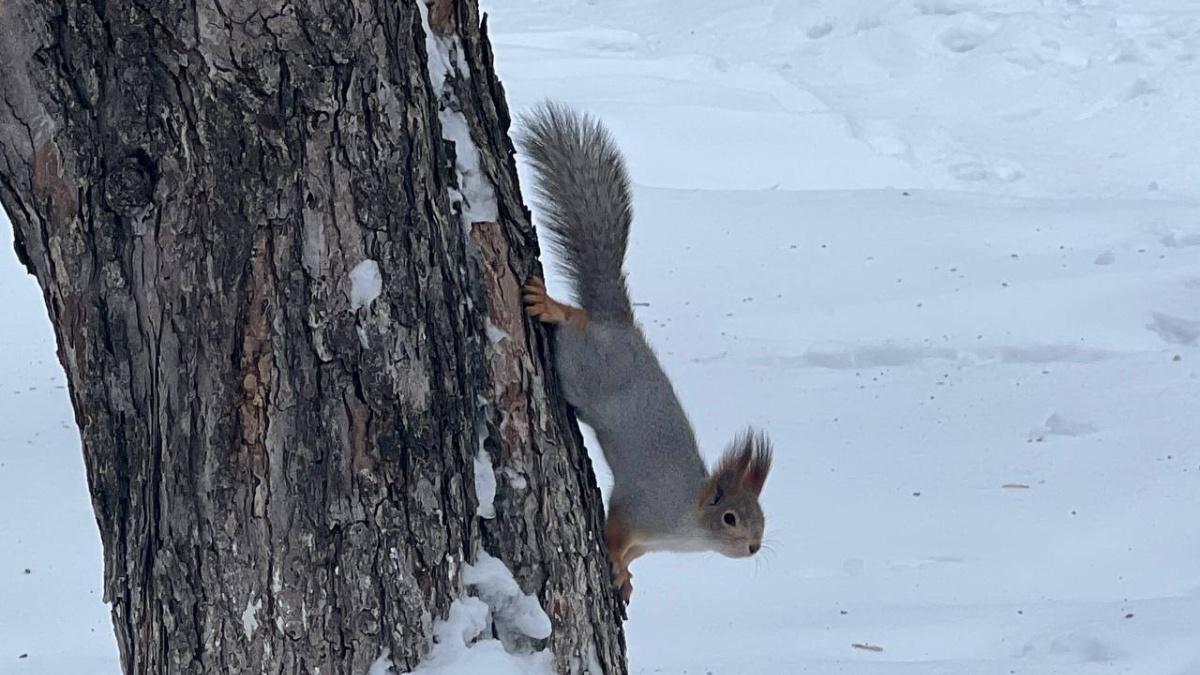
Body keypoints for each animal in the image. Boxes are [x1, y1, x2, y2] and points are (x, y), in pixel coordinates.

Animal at [513, 102, 772, 600]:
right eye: (730, 517)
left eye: (762, 519)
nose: (754, 548)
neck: (687, 523)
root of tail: (618, 325)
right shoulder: (639, 507)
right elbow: (617, 535)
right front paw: (615, 562)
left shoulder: (649, 539)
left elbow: (635, 554)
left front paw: (627, 576)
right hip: (582, 366)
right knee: (575, 324)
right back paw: (553, 307)